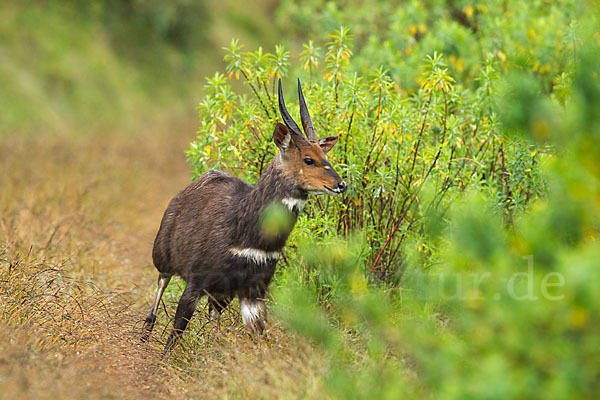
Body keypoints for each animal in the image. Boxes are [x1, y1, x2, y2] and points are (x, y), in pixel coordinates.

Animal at [142, 77, 346, 350]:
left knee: (214, 318)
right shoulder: (196, 281)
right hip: (163, 259)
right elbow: (175, 333)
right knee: (158, 295)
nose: (341, 185)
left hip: (221, 294)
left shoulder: (253, 291)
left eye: (325, 155)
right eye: (308, 159)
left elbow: (261, 338)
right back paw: (144, 336)